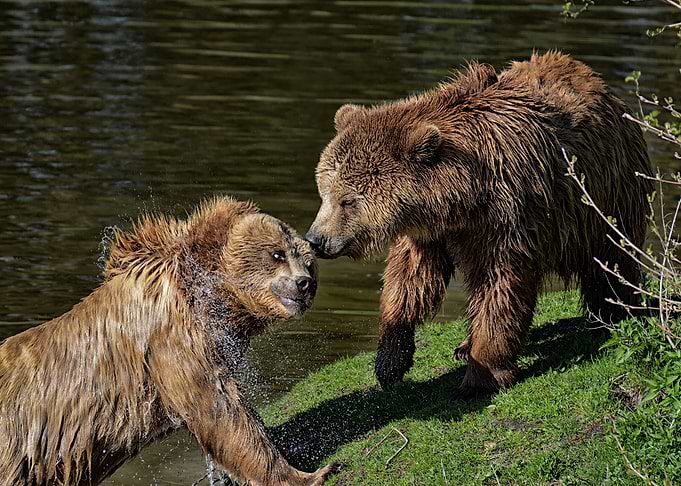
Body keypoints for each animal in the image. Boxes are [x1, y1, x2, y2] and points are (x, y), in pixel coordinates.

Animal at [0, 196, 338, 485]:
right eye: (277, 254)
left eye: (308, 262)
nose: (304, 284)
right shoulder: (173, 338)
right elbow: (222, 411)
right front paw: (312, 473)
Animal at [305, 51, 653, 394]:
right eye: (325, 192)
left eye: (348, 200)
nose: (315, 240)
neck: (462, 198)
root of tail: (599, 83)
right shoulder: (429, 233)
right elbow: (409, 280)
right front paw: (390, 360)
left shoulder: (506, 218)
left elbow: (498, 286)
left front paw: (482, 375)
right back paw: (463, 345)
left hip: (607, 194)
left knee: (612, 260)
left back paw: (614, 316)